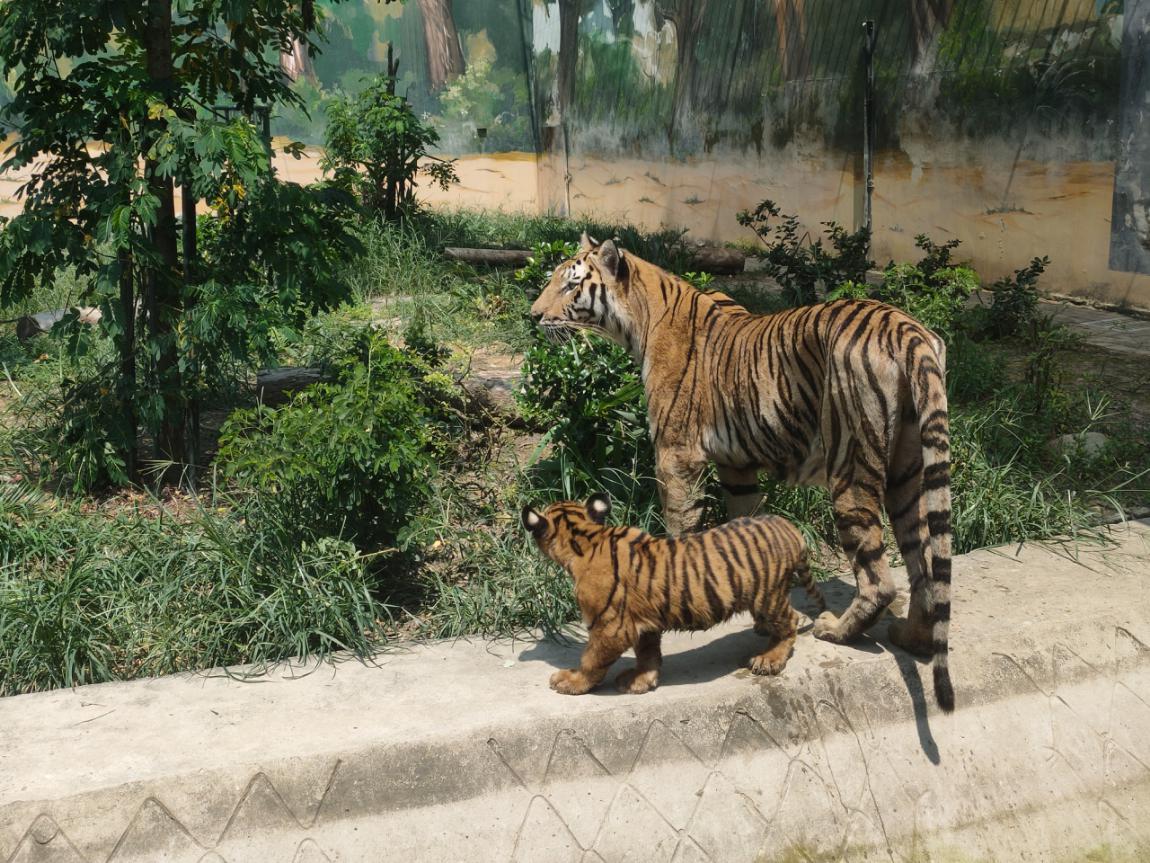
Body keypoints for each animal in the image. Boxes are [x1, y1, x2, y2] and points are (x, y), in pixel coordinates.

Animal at [526, 233, 952, 713]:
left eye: (570, 285)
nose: (533, 316)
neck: (640, 316)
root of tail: (906, 328)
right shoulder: (737, 465)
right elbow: (743, 533)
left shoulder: (676, 454)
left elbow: (679, 525)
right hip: (908, 471)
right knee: (925, 563)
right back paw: (913, 637)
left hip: (851, 463)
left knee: (880, 580)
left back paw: (836, 630)